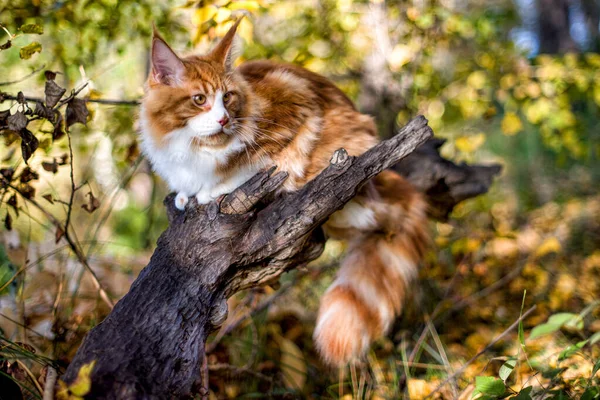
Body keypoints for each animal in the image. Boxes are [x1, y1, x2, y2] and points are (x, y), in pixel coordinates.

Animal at [138, 20, 428, 368]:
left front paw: (213, 190)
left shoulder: (295, 106)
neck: (196, 147)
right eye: (199, 99)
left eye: (228, 97)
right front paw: (187, 194)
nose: (223, 119)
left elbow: (261, 164)